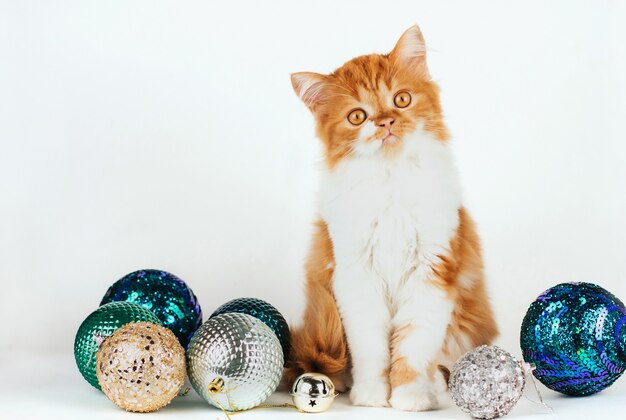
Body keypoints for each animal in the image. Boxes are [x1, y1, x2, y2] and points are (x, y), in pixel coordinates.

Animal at [284, 25, 498, 410]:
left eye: (401, 99)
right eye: (357, 116)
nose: (385, 122)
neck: (390, 184)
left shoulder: (432, 271)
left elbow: (413, 346)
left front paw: (409, 396)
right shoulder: (356, 276)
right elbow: (371, 348)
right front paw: (370, 394)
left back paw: (437, 388)